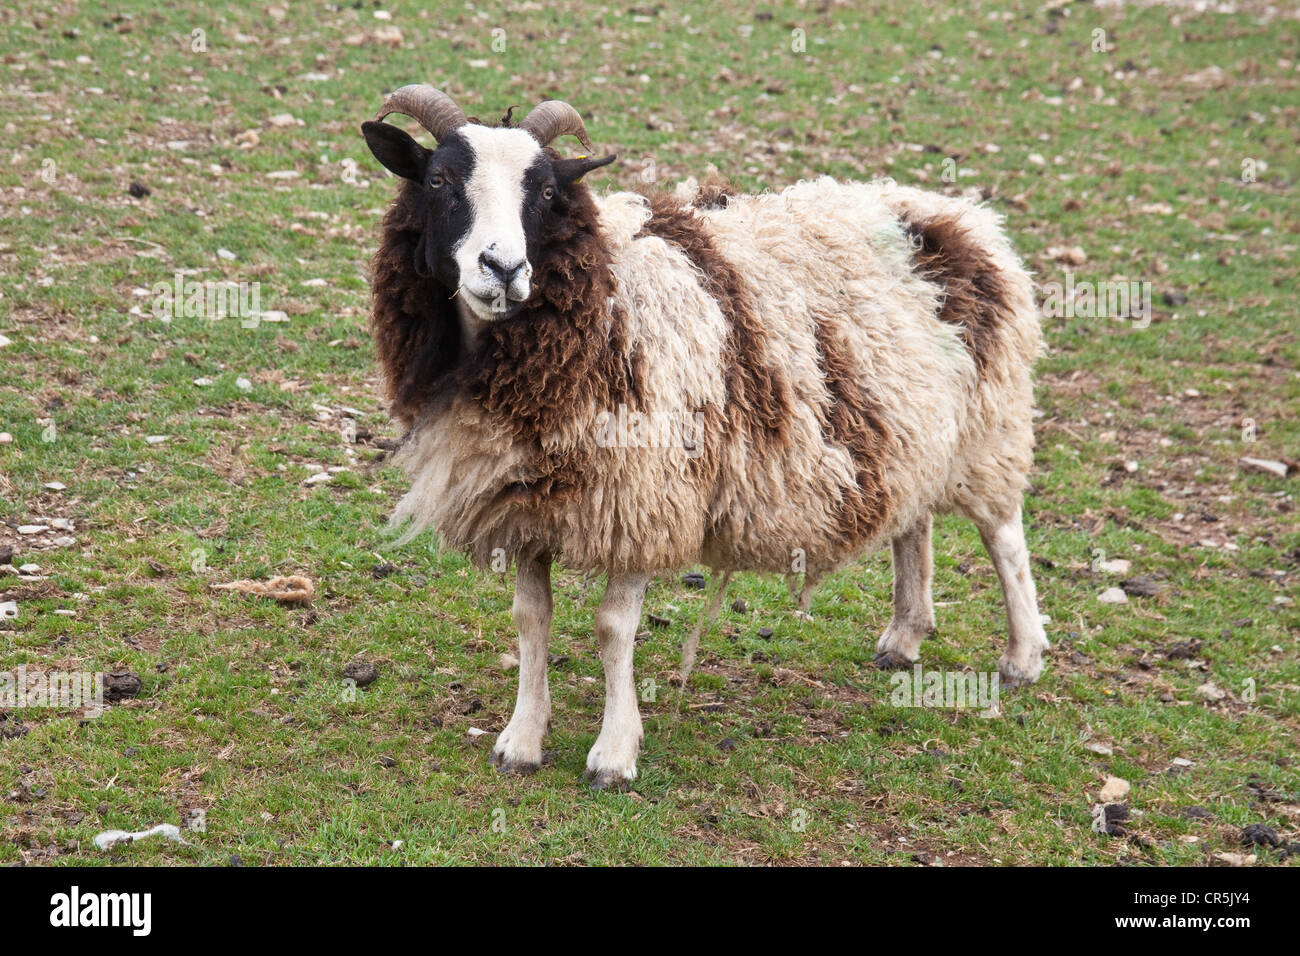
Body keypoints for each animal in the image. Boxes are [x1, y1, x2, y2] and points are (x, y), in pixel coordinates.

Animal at [361, 85, 1050, 790]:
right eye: (438, 179)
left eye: (547, 192)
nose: (503, 267)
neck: (604, 295)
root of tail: (960, 216)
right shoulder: (526, 498)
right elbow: (532, 619)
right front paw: (521, 741)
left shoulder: (645, 494)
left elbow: (613, 628)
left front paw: (615, 754)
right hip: (913, 427)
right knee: (915, 521)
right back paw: (905, 636)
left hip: (989, 425)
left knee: (1004, 536)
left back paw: (1022, 657)